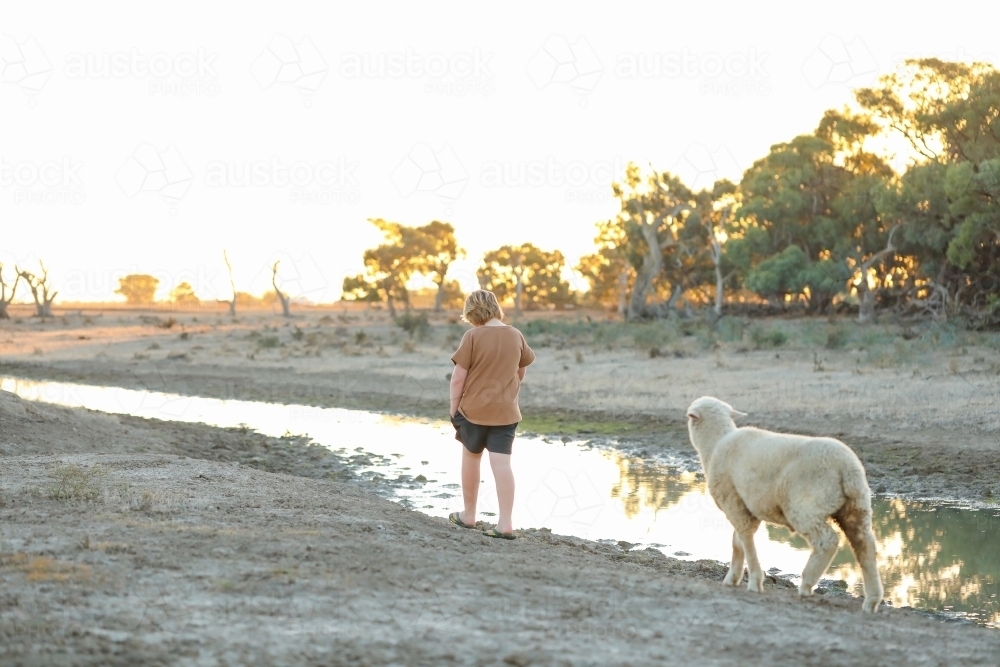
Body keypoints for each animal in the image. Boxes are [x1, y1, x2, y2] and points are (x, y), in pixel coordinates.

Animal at [685, 396, 883, 613]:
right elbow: (737, 542)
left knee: (828, 541)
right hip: (856, 506)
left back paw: (806, 585)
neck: (716, 444)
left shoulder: (733, 500)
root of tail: (847, 468)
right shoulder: (745, 505)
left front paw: (754, 581)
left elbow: (745, 539)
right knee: (865, 545)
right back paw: (872, 600)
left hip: (806, 505)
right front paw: (733, 578)